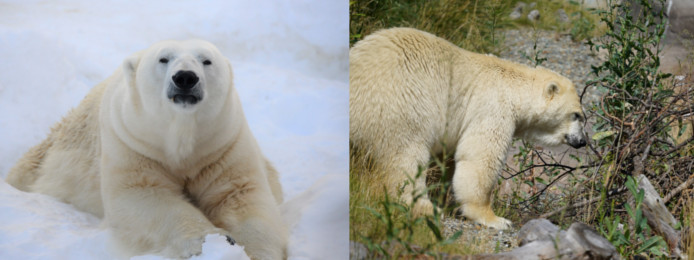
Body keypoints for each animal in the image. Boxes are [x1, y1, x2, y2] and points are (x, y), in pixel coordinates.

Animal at [6, 38, 288, 258]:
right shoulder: (131, 142)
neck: (181, 136)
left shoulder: (222, 145)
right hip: (50, 153)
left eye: (206, 60)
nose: (185, 77)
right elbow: (141, 194)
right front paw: (210, 241)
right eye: (164, 58)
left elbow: (241, 196)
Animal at [354, 27, 588, 229]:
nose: (583, 141)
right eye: (577, 115)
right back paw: (427, 209)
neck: (514, 87)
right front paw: (495, 219)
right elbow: (480, 158)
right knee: (406, 159)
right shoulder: (492, 108)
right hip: (402, 104)